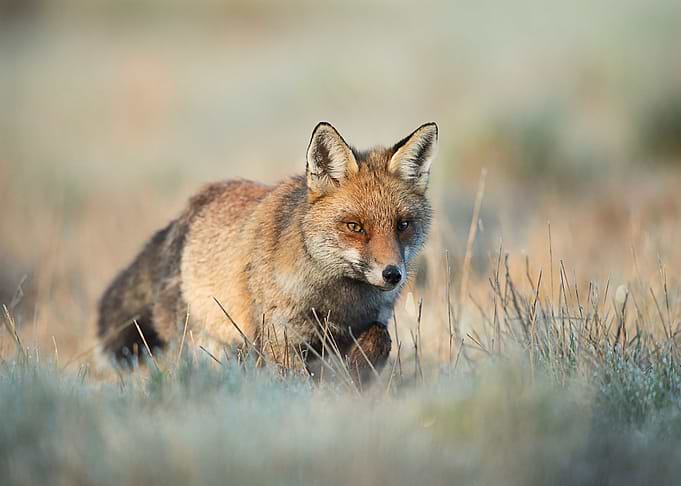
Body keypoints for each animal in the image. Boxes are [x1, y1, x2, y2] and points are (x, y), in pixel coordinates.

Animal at [97, 121, 438, 384]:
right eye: (355, 226)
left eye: (403, 225)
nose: (392, 274)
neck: (338, 301)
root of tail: (189, 209)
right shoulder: (280, 337)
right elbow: (297, 382)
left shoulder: (362, 326)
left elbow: (379, 339)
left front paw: (358, 373)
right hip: (206, 344)